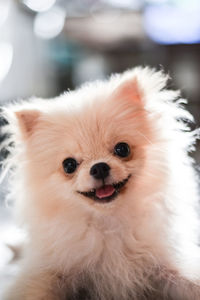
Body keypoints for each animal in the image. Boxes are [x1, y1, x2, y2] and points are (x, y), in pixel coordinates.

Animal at [2, 67, 200, 298]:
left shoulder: (166, 264)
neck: (108, 223)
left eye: (122, 149)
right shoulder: (52, 271)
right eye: (69, 165)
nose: (99, 167)